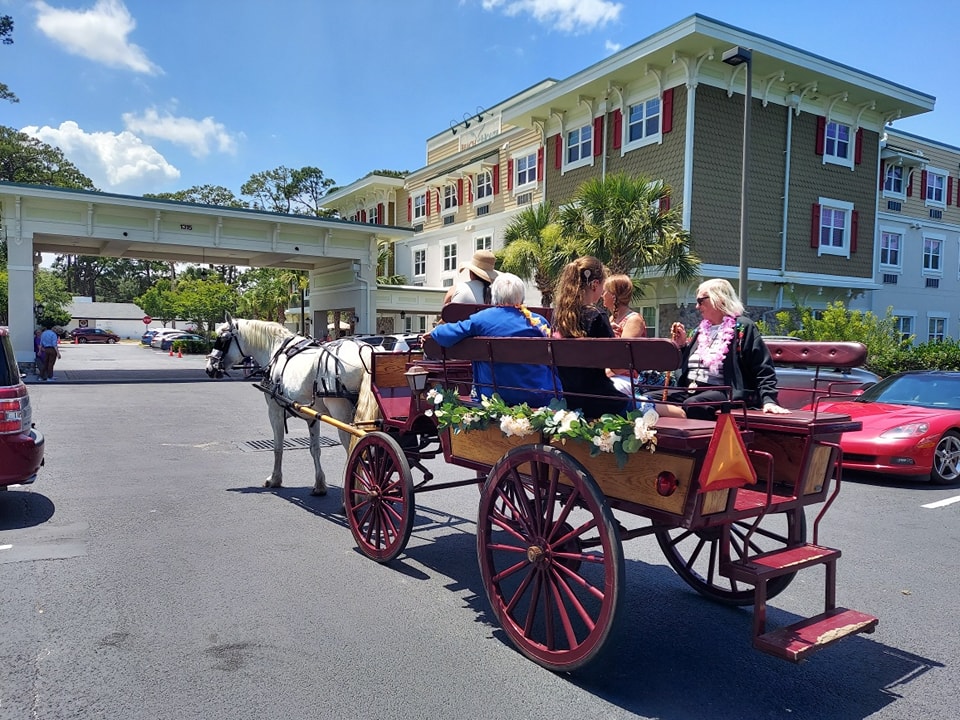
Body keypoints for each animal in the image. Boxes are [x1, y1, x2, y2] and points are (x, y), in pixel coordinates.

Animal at [204, 316, 376, 496]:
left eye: (223, 339)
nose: (209, 368)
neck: (275, 351)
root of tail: (365, 352)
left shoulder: (275, 412)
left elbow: (278, 447)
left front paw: (275, 479)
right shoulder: (312, 417)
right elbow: (315, 449)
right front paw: (319, 484)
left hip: (342, 414)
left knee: (354, 449)